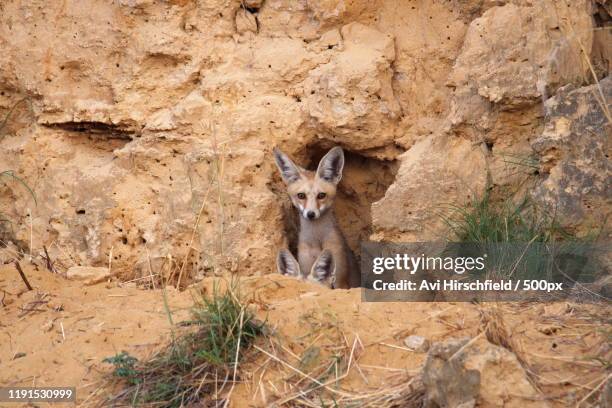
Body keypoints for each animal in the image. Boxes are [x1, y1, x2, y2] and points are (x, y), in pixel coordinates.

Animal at [272, 147, 358, 290]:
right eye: (301, 195)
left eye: (321, 195)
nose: (311, 214)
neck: (316, 242)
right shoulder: (304, 267)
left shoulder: (340, 281)